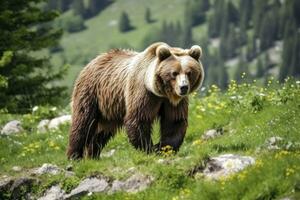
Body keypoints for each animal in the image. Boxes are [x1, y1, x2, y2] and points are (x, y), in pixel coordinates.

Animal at [67, 42, 205, 159]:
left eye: (189, 72)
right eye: (174, 73)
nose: (183, 87)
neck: (161, 92)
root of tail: (93, 61)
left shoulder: (172, 102)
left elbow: (174, 121)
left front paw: (163, 148)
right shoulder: (143, 92)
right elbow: (139, 119)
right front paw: (149, 149)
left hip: (110, 107)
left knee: (102, 131)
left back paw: (92, 155)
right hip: (91, 92)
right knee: (83, 123)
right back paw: (74, 156)